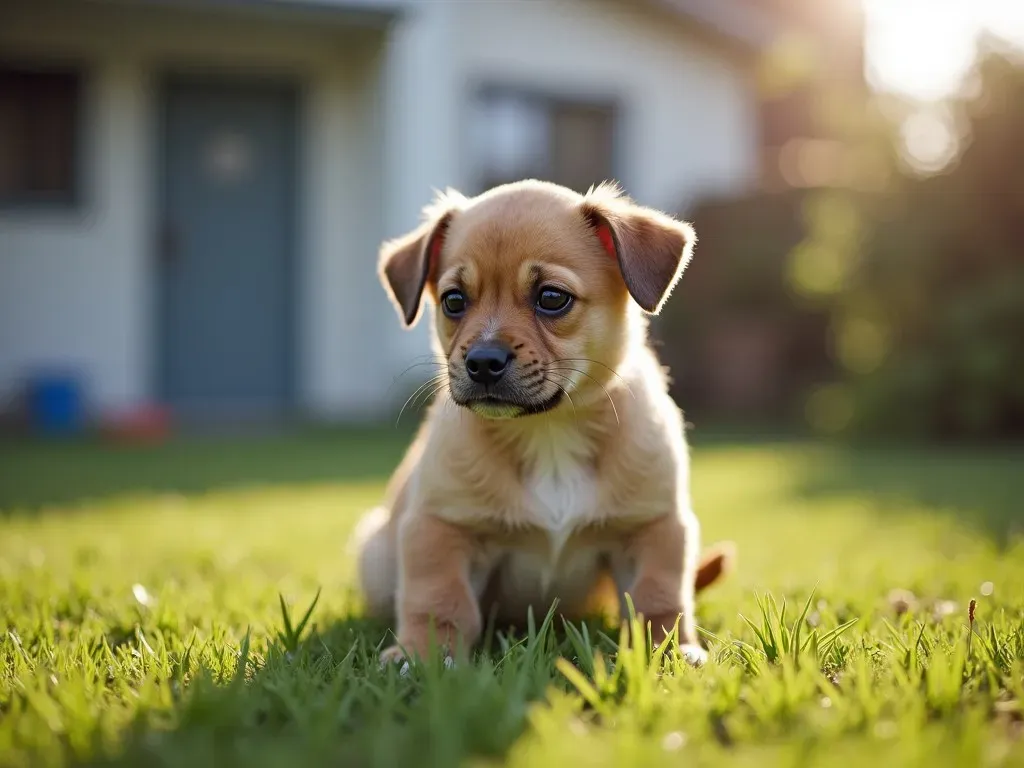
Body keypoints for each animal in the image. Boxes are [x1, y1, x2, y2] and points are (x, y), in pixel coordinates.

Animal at [356, 179, 733, 667]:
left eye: (552, 298)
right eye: (453, 301)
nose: (483, 361)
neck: (548, 431)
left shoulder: (654, 529)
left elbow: (659, 598)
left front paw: (671, 650)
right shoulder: (440, 529)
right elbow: (440, 601)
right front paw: (421, 655)